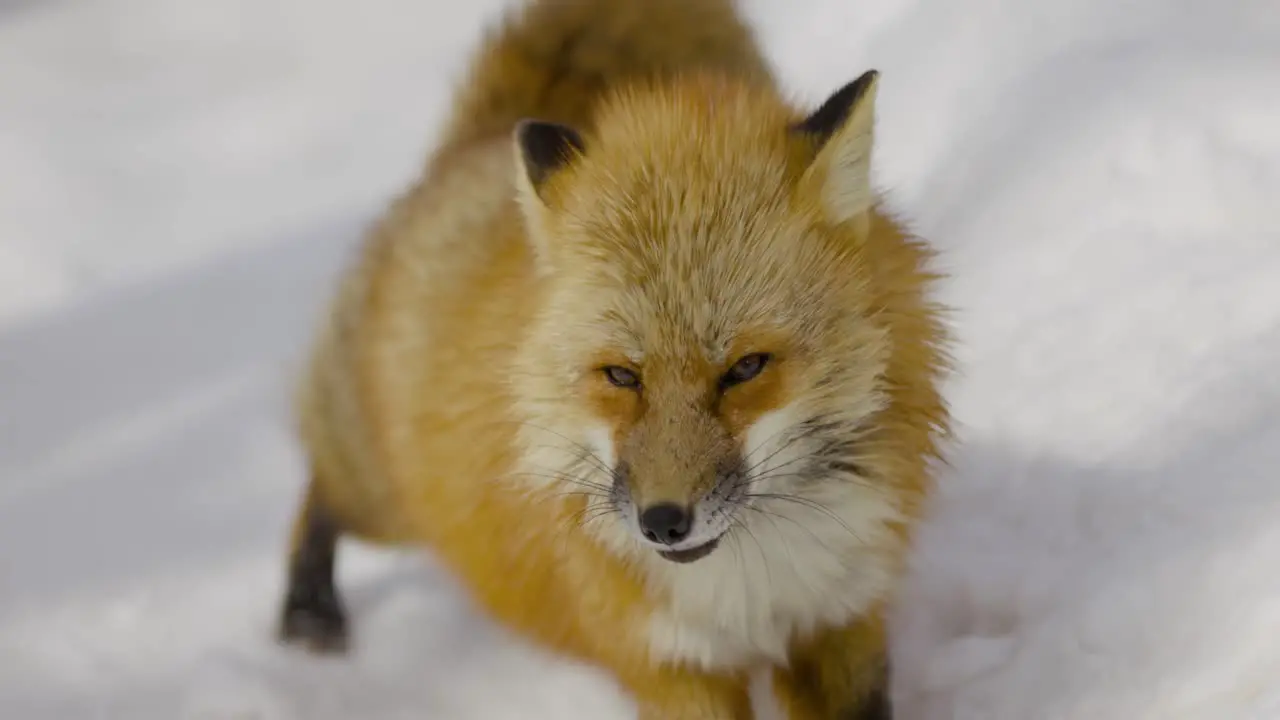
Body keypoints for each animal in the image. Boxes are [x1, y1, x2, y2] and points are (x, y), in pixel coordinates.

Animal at [277, 1, 952, 717]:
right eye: (622, 376)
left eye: (745, 368)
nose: (662, 524)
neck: (755, 586)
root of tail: (473, 148)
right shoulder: (667, 664)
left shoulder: (841, 623)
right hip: (383, 501)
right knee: (320, 487)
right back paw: (308, 609)